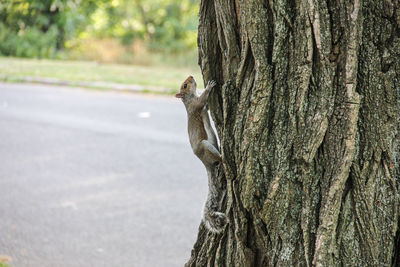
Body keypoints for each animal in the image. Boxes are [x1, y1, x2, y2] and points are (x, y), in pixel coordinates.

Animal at [176, 76, 228, 234]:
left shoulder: (200, 106)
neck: (189, 99)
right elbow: (203, 99)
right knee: (219, 159)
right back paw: (223, 156)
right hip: (206, 146)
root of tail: (204, 161)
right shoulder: (196, 105)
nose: (191, 76)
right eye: (185, 85)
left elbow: (206, 106)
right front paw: (209, 86)